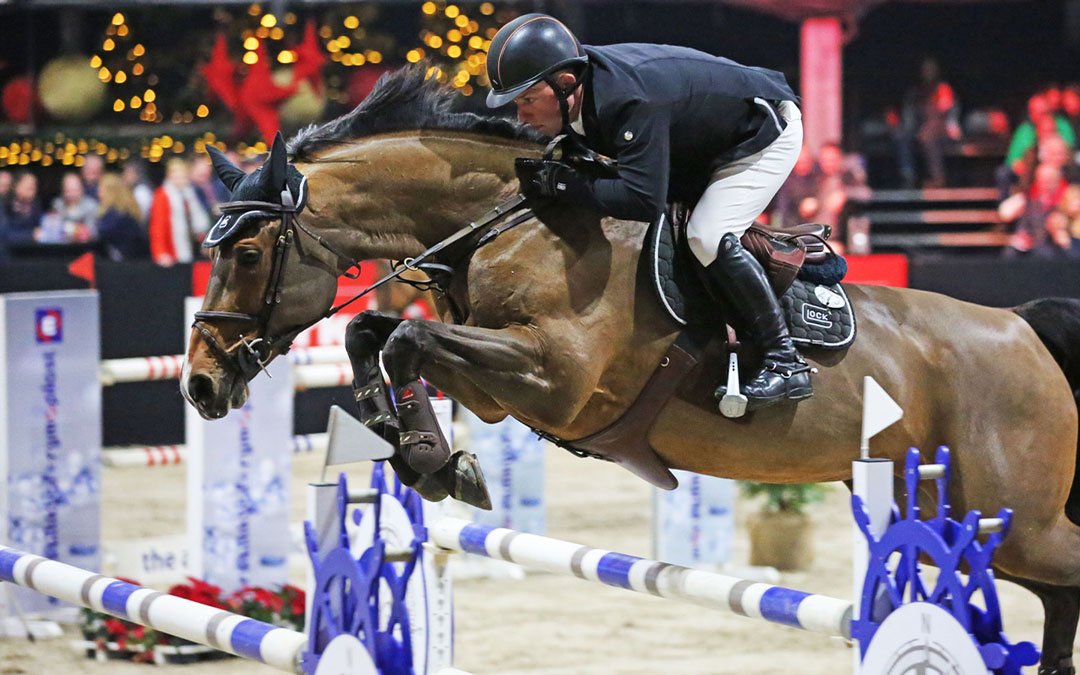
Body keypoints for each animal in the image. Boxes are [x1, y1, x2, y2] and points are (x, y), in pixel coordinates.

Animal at [181, 66, 1080, 673]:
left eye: (249, 253)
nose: (200, 383)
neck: (513, 222)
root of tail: (1021, 328)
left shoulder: (555, 380)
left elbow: (403, 339)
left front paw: (436, 461)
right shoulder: (501, 390)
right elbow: (376, 333)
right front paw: (420, 450)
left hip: (1007, 518)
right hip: (967, 524)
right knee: (1057, 598)